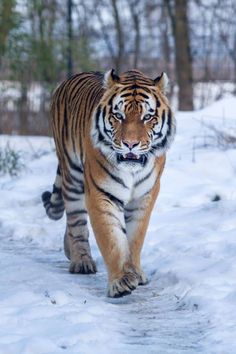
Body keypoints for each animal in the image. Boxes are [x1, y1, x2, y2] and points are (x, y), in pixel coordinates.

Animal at [42, 68, 175, 298]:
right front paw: (121, 281)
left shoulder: (144, 196)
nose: (130, 144)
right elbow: (112, 239)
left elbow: (135, 237)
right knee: (76, 221)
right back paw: (81, 261)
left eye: (147, 117)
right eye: (118, 116)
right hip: (72, 175)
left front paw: (135, 272)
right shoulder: (100, 192)